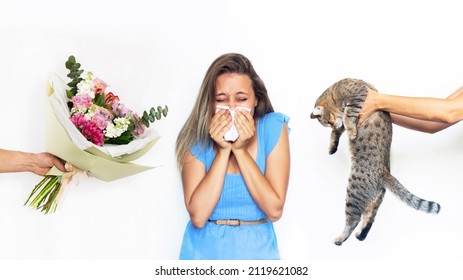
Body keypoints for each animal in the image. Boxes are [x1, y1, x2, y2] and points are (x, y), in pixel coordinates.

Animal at [312, 77, 442, 245]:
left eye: (327, 122)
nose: (331, 124)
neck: (334, 93)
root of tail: (384, 172)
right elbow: (337, 132)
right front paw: (332, 147)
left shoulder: (357, 96)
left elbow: (347, 117)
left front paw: (350, 132)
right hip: (376, 200)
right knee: (369, 219)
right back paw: (360, 235)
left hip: (353, 190)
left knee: (353, 219)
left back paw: (340, 238)